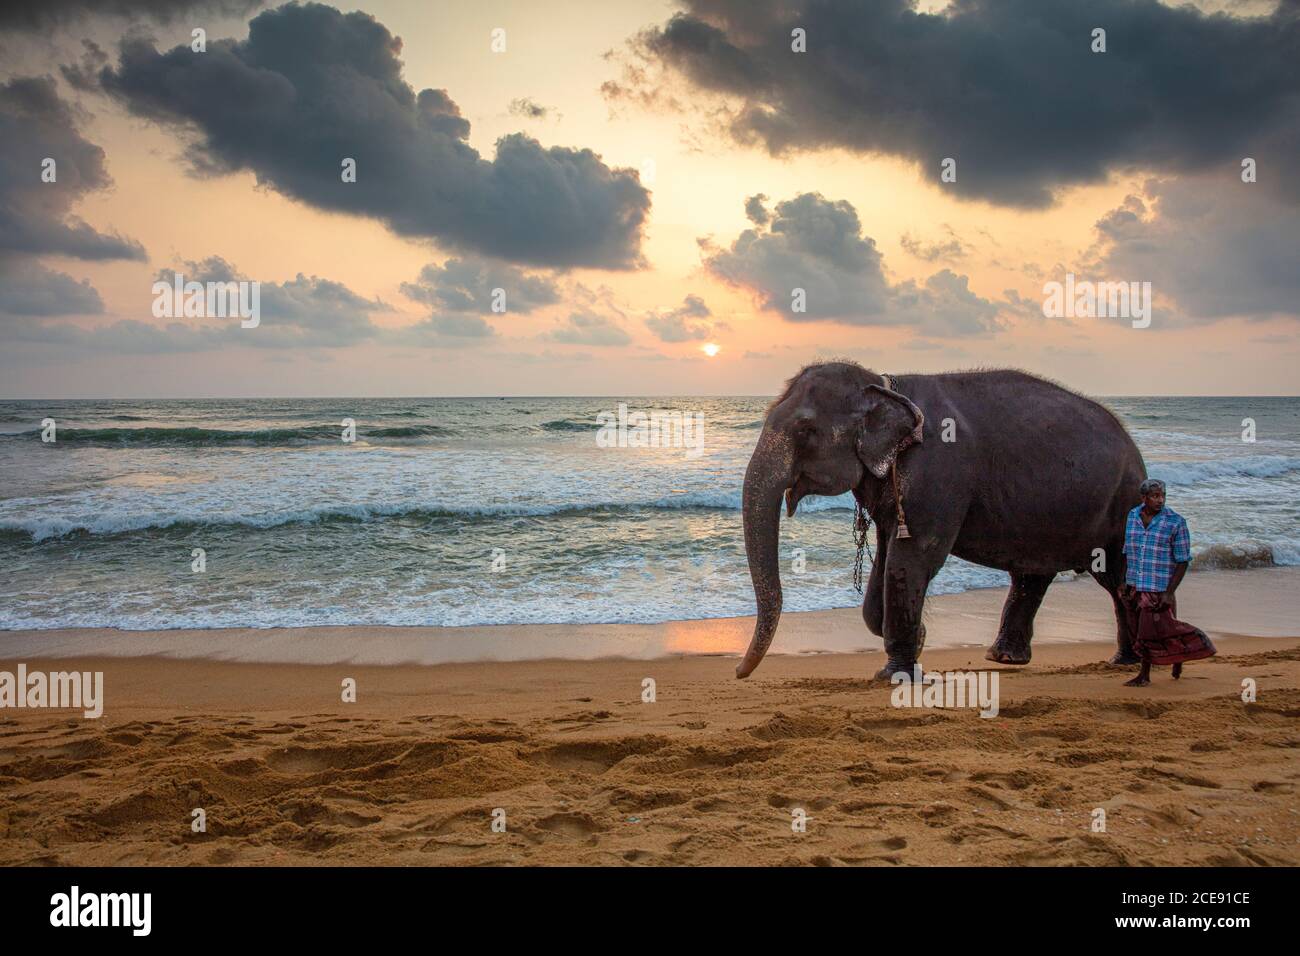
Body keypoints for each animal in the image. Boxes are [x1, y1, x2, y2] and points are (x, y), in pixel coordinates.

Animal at [737, 362, 1147, 680]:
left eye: (805, 430)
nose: (740, 672)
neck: (885, 385)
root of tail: (1133, 447)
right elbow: (886, 564)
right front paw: (918, 637)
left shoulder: (937, 472)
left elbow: (914, 558)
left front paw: (894, 674)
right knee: (1033, 575)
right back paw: (1012, 658)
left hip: (1124, 506)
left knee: (1117, 577)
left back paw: (1128, 659)